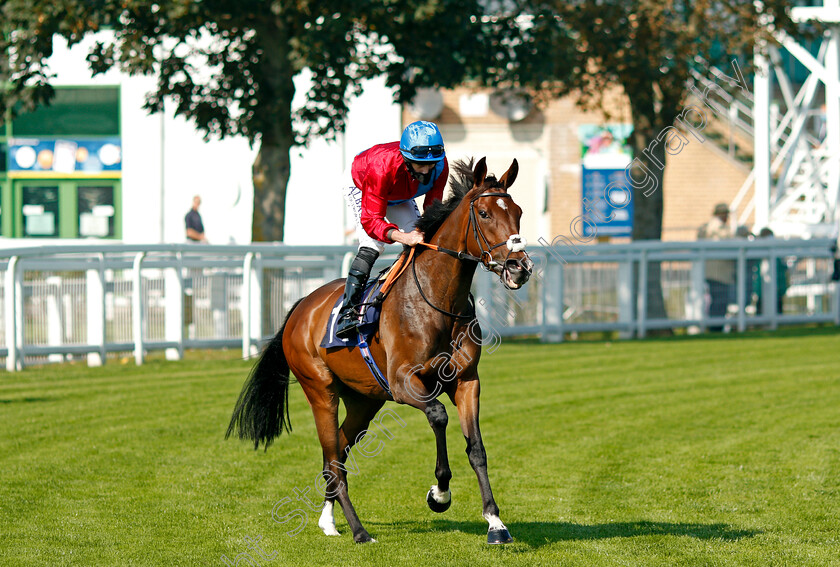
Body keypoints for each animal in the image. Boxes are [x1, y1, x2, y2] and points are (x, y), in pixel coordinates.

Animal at [228, 156, 532, 544]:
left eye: (518, 212)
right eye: (484, 213)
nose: (519, 268)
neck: (436, 299)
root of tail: (299, 308)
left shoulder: (466, 381)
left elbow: (476, 448)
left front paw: (495, 523)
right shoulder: (404, 383)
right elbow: (438, 416)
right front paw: (439, 494)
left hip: (363, 401)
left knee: (337, 454)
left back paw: (328, 521)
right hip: (321, 391)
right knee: (331, 456)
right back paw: (358, 530)